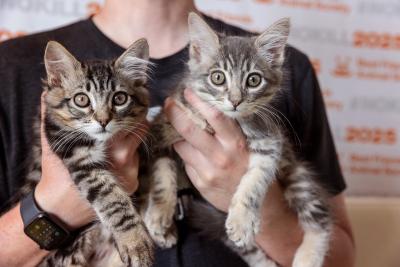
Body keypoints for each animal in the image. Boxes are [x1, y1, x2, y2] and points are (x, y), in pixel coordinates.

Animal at [20, 39, 155, 267]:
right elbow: (114, 201)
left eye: (119, 98)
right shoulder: (77, 156)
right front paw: (135, 242)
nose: (103, 121)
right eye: (81, 100)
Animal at [145, 13, 332, 267]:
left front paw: (243, 219)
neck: (231, 121)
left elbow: (255, 179)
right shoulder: (162, 129)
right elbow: (162, 173)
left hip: (298, 175)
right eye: (217, 78)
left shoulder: (270, 141)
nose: (235, 101)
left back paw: (308, 256)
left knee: (320, 221)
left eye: (253, 80)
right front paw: (159, 213)